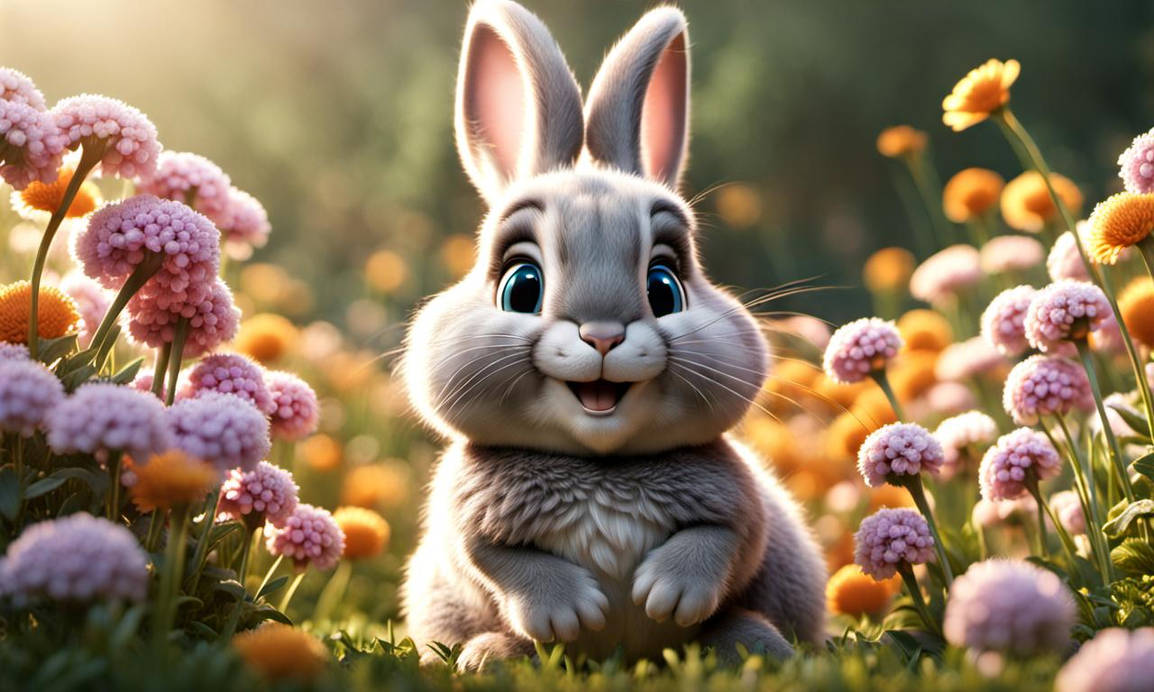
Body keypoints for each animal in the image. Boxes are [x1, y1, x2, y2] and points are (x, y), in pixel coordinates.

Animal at [399, 0, 826, 671]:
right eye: (521, 286)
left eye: (665, 287)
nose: (602, 336)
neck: (602, 466)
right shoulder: (465, 528)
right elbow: (497, 560)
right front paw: (571, 612)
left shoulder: (742, 512)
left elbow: (722, 541)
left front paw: (664, 594)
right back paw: (489, 657)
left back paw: (757, 650)